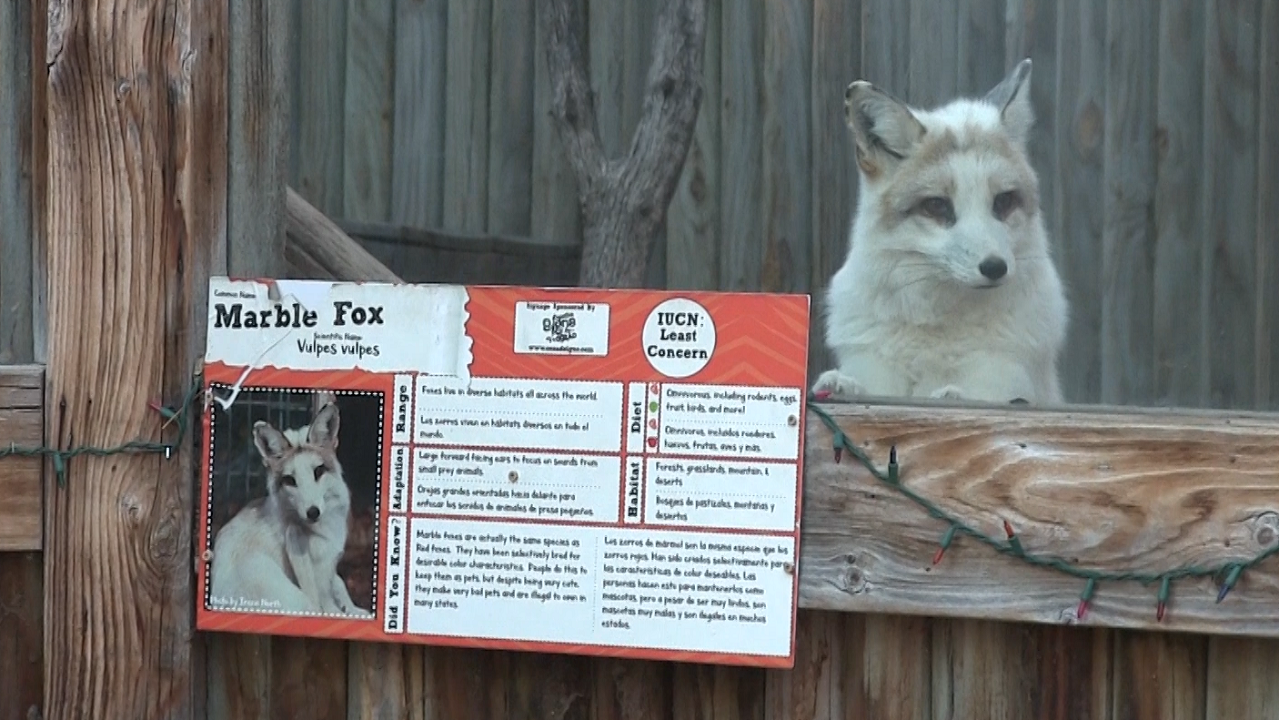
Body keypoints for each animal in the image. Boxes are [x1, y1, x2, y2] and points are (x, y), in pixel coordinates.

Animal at [208, 401, 371, 618]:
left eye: (318, 471)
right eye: (290, 480)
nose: (313, 512)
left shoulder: (328, 567)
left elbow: (339, 583)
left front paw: (354, 608)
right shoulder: (316, 570)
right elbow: (329, 602)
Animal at [811, 58, 1068, 406]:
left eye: (1003, 201)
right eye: (937, 205)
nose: (994, 268)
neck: (939, 325)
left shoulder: (1007, 383)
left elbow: (980, 394)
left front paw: (952, 394)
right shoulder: (876, 371)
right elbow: (868, 386)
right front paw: (843, 384)